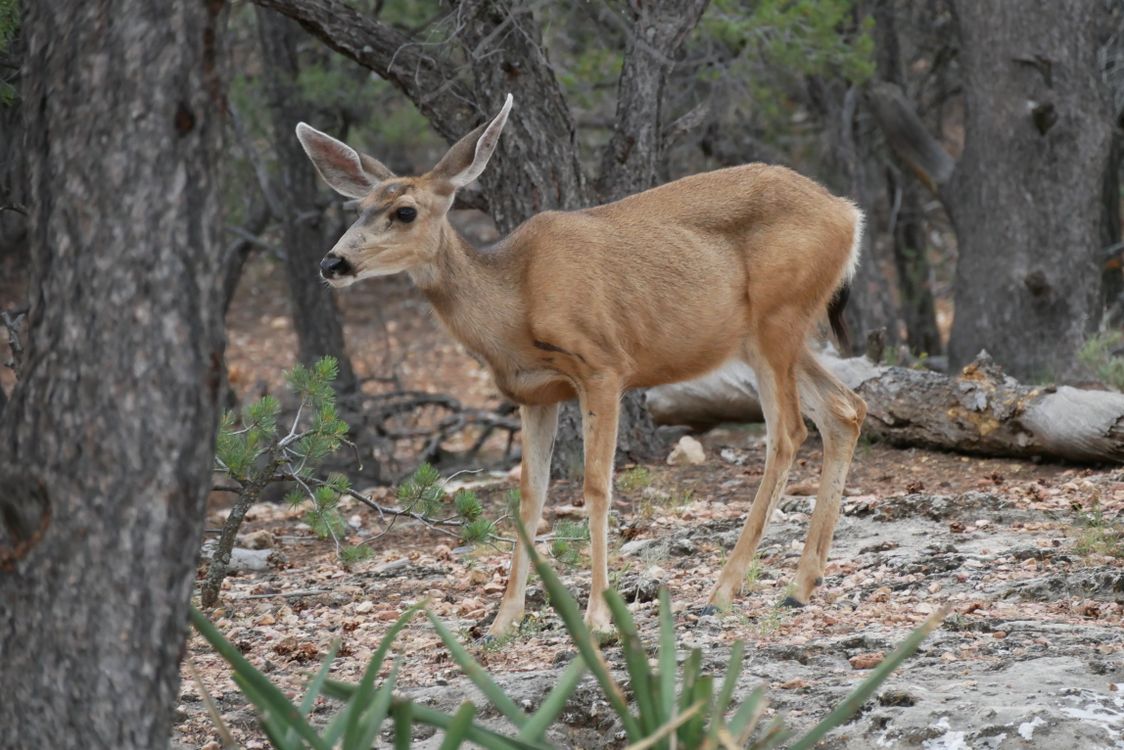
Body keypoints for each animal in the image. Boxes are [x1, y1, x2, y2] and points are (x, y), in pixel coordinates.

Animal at [295, 94, 867, 638]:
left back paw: (724, 590)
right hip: (768, 335)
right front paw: (502, 622)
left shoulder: (603, 367)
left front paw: (596, 615)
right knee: (845, 409)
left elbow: (596, 486)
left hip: (778, 317)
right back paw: (798, 586)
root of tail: (849, 213)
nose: (332, 262)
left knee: (789, 432)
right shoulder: (533, 394)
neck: (514, 303)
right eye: (359, 207)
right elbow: (530, 497)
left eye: (405, 211)